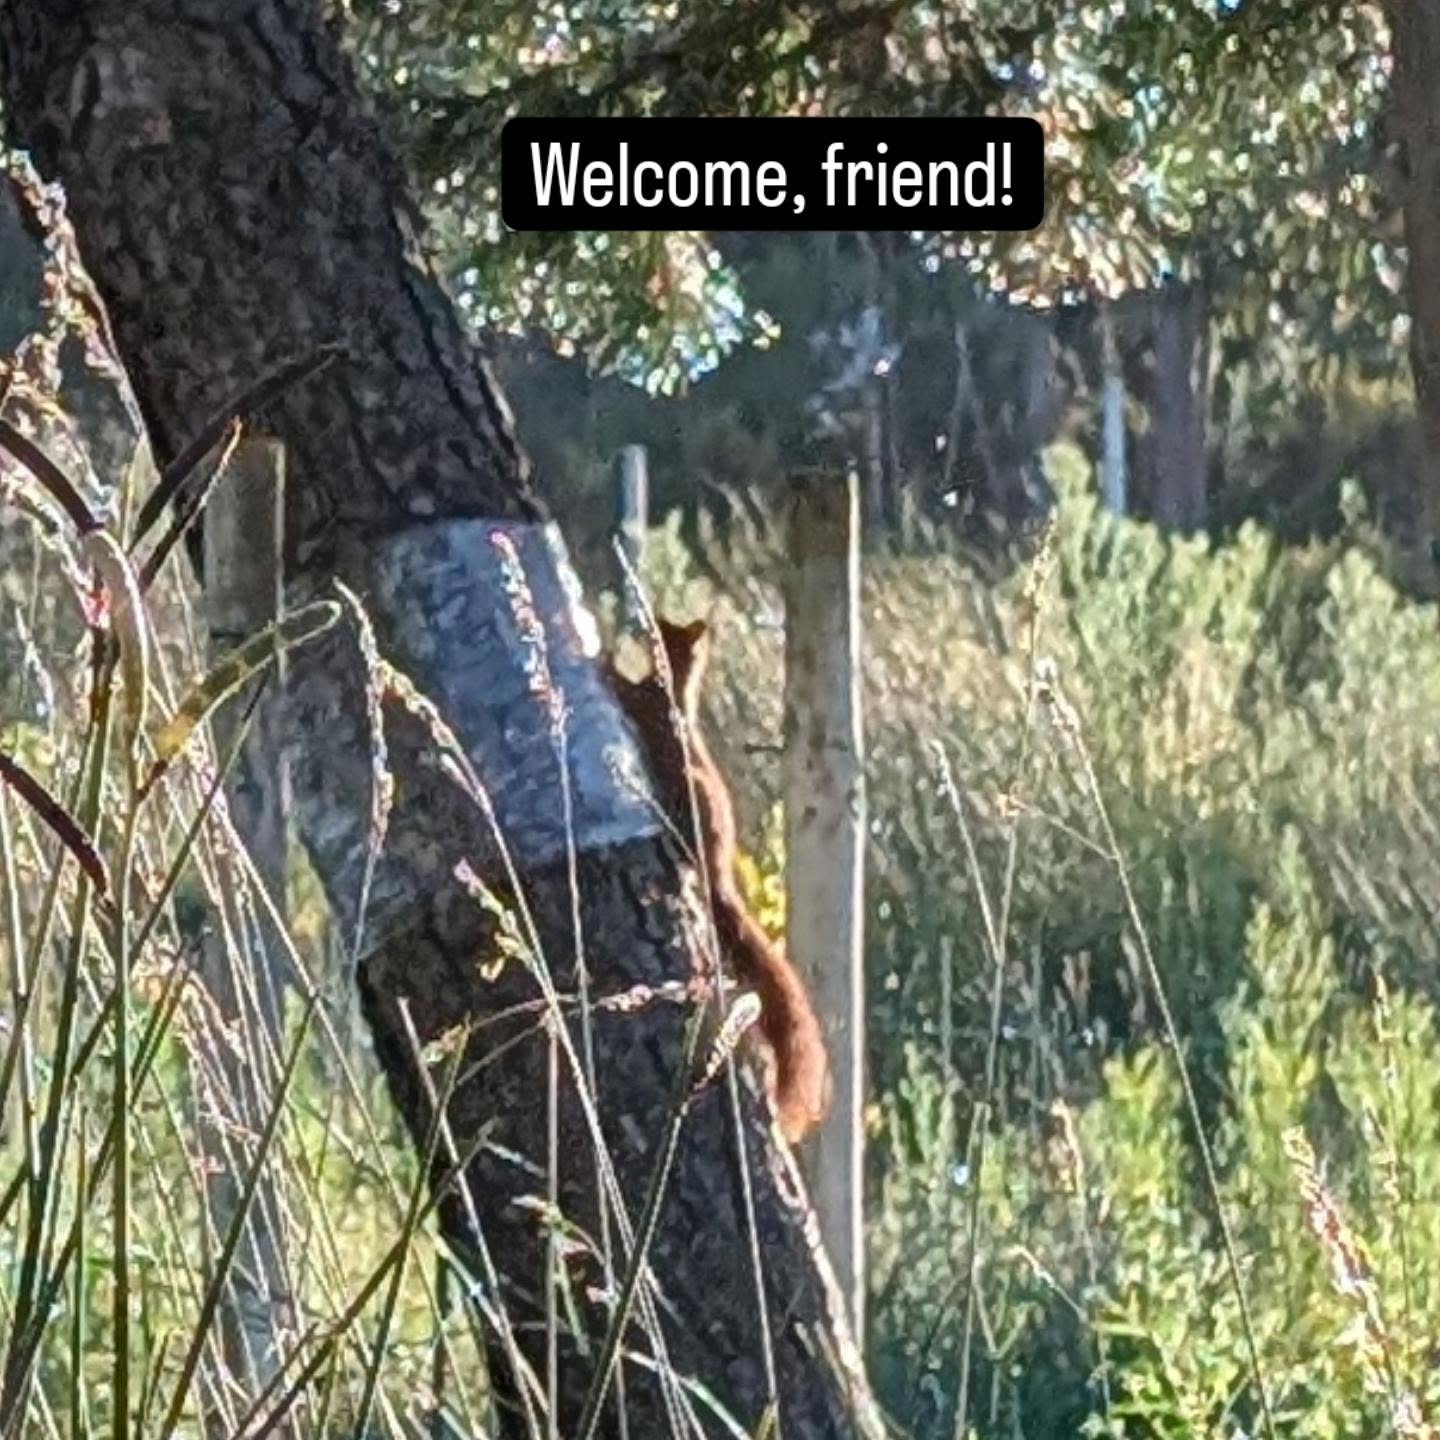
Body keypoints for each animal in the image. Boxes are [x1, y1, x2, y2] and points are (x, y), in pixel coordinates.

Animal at [606, 617, 831, 1144]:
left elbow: (623, 690)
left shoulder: (643, 703)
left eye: (662, 629)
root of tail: (719, 877)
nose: (642, 624)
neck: (673, 688)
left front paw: (601, 659)